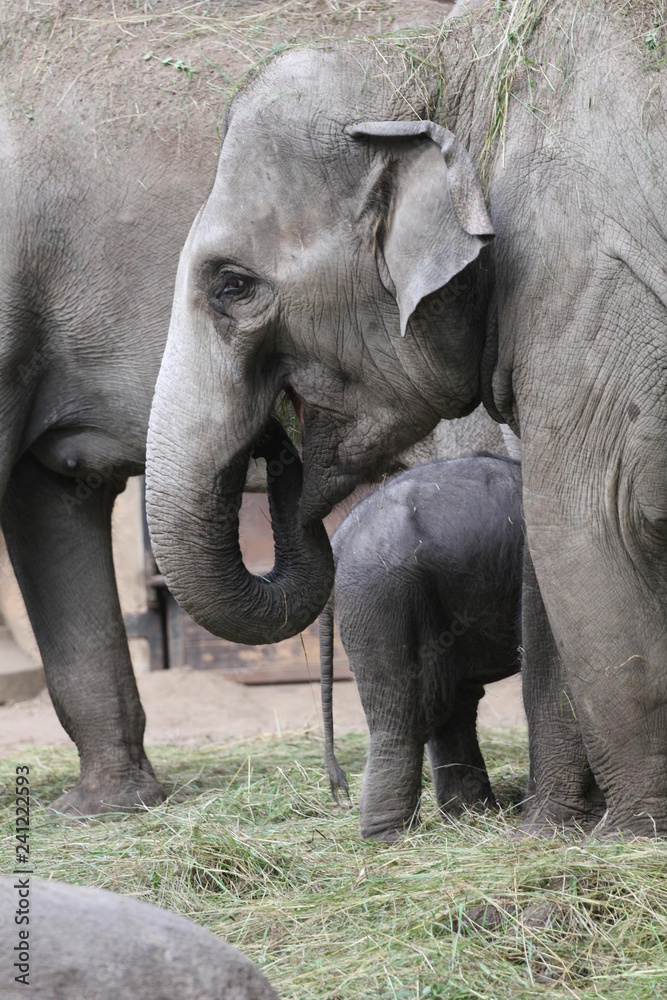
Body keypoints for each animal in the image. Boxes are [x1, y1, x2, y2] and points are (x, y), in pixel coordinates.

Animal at [320, 454, 523, 840]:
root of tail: (340, 535)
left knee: (448, 702)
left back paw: (470, 817)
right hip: (381, 592)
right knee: (404, 710)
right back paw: (391, 837)